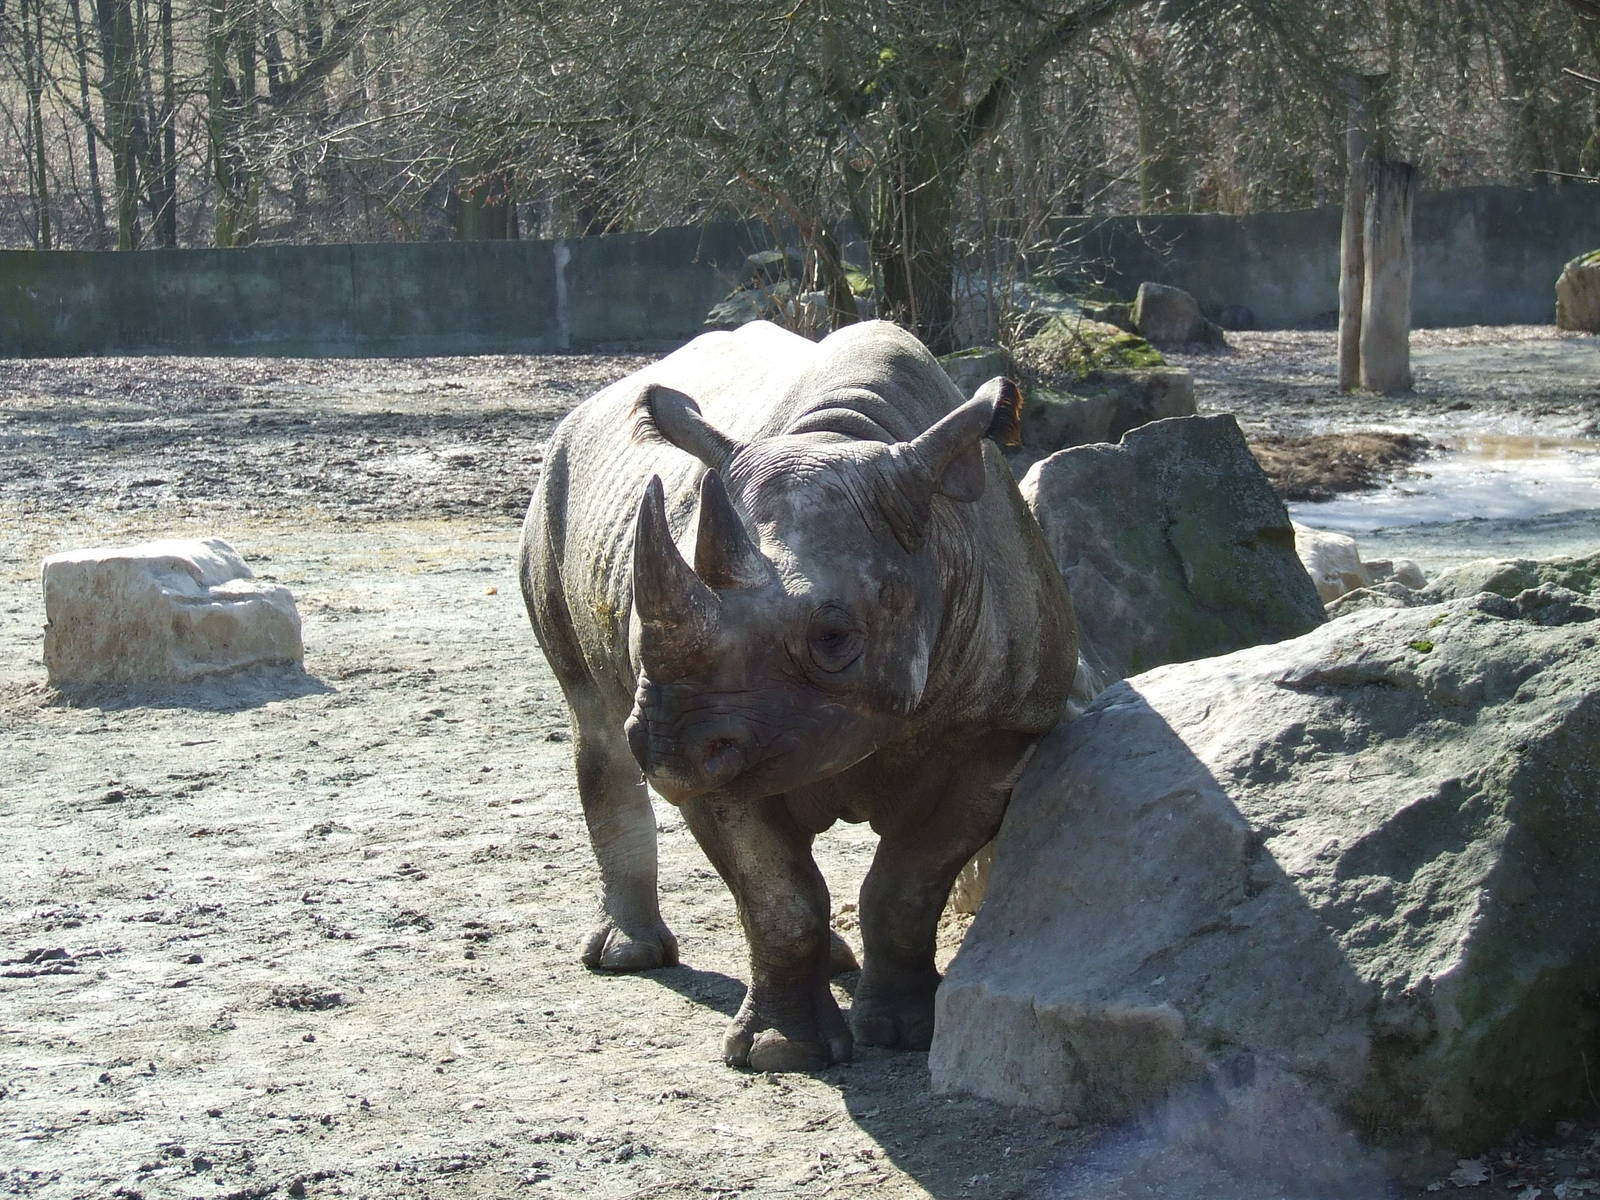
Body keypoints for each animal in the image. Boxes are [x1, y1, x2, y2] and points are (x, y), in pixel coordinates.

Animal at [519, 320, 1077, 1071]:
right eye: (638, 630)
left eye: (834, 638)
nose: (666, 744)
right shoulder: (724, 740)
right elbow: (778, 897)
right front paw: (782, 1053)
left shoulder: (1003, 733)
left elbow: (907, 886)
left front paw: (905, 1032)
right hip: (555, 485)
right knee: (596, 725)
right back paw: (627, 956)